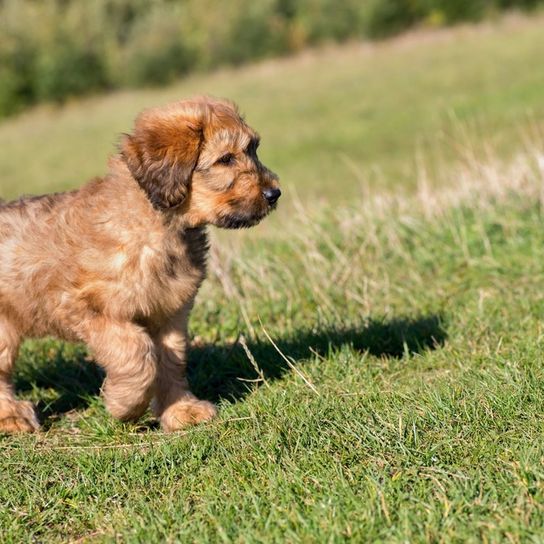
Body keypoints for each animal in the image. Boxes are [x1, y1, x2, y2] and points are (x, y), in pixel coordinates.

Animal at [0, 96, 280, 434]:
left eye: (254, 148)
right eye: (225, 159)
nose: (274, 193)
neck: (157, 224)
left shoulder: (170, 311)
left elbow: (171, 361)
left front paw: (181, 410)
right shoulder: (85, 307)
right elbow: (137, 354)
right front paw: (125, 404)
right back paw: (12, 416)